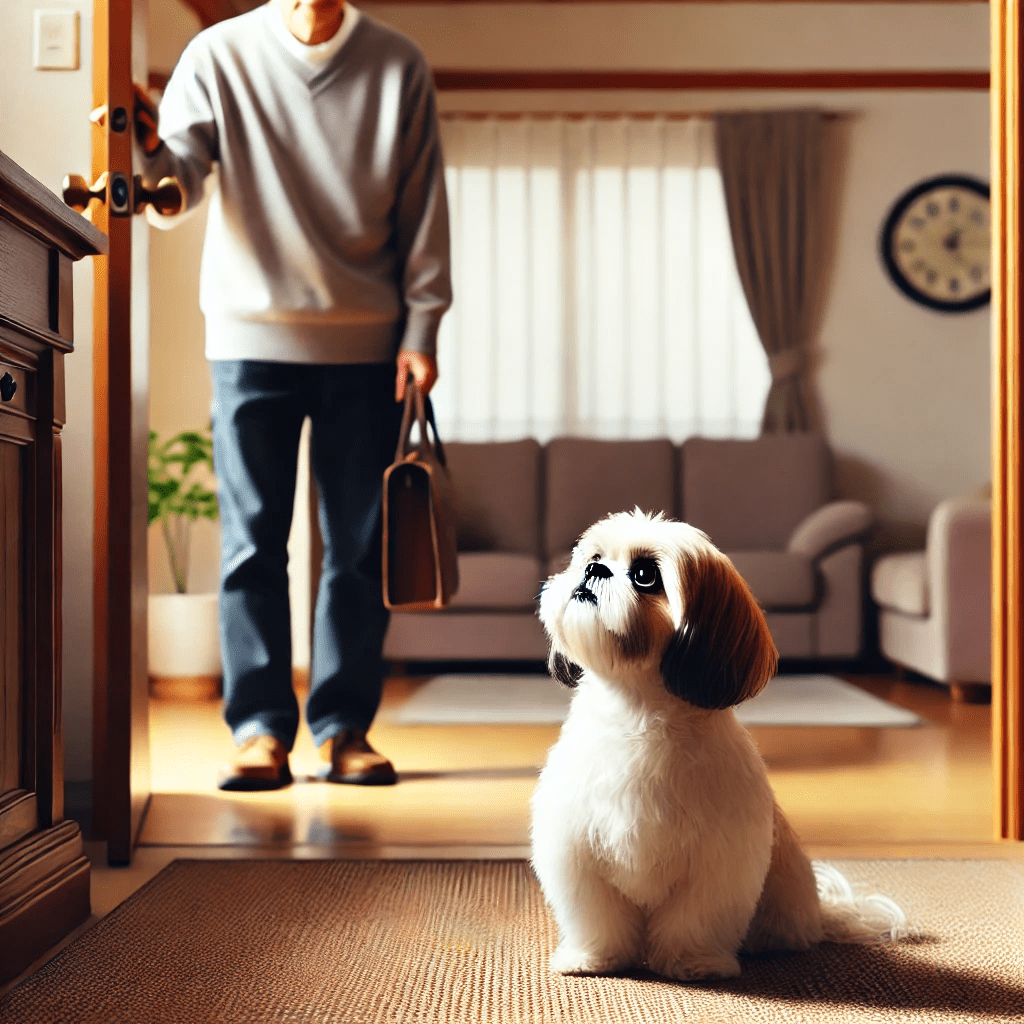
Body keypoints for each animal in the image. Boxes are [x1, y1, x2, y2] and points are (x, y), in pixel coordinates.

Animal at [532, 507, 909, 978]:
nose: (593, 571)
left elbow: (694, 918)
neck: (636, 713)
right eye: (594, 557)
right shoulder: (577, 851)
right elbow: (598, 916)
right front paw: (593, 958)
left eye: (644, 575)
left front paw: (693, 963)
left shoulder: (718, 862)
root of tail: (820, 913)